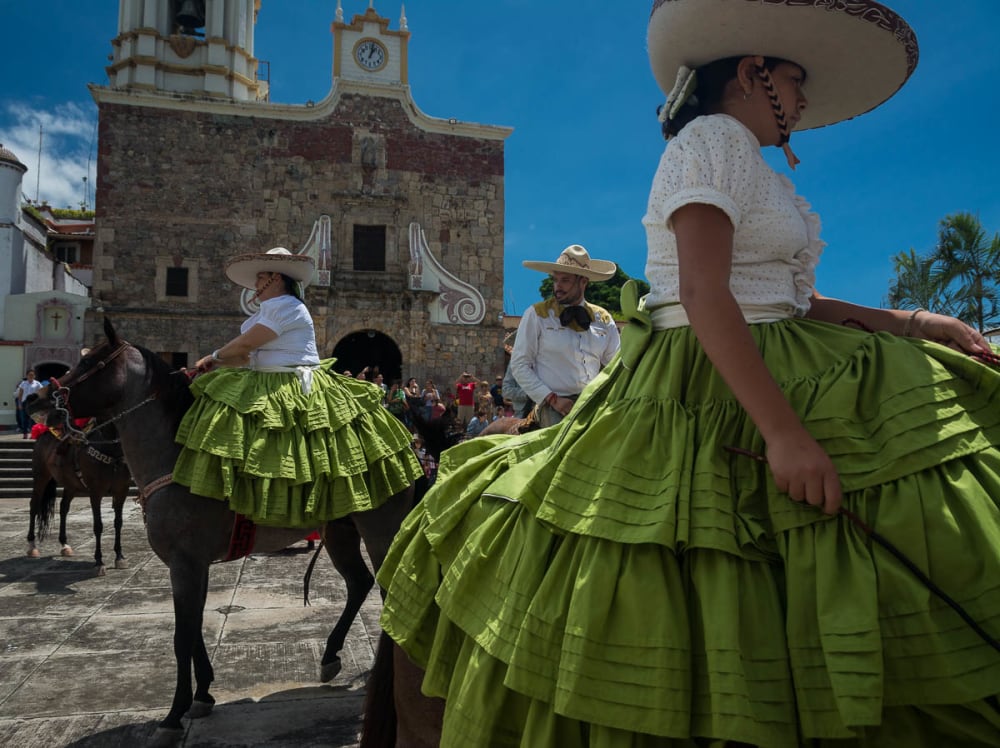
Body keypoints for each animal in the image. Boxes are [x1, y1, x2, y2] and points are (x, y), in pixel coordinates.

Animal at [25, 420, 133, 572]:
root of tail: (43, 431)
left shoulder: (122, 491)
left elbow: (118, 522)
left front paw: (119, 557)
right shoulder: (95, 493)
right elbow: (98, 525)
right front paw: (99, 561)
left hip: (71, 486)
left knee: (64, 507)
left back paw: (64, 545)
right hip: (41, 477)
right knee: (34, 506)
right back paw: (32, 546)